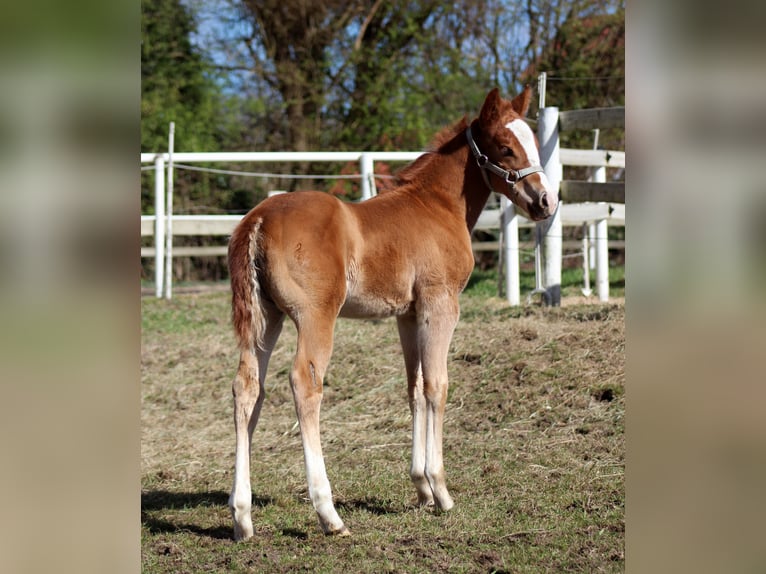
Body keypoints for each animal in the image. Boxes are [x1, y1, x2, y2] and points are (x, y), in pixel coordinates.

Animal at [226, 87, 556, 540]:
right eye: (506, 148)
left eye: (534, 143)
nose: (545, 202)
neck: (436, 206)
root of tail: (258, 219)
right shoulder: (440, 304)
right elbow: (437, 386)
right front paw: (441, 490)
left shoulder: (407, 314)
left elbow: (414, 387)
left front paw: (421, 489)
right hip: (316, 317)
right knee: (304, 383)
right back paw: (328, 513)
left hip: (266, 319)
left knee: (247, 388)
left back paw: (242, 516)